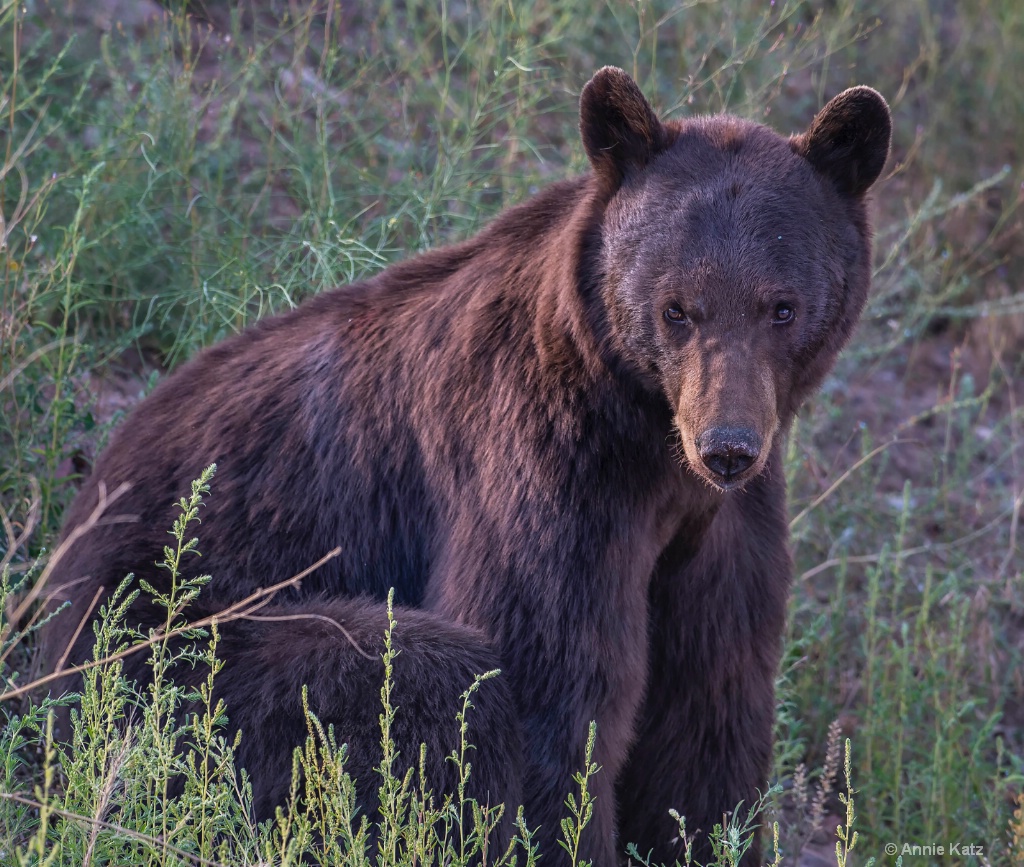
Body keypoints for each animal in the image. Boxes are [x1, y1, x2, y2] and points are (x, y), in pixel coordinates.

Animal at [37, 67, 888, 867]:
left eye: (781, 306)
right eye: (676, 307)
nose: (728, 444)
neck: (648, 448)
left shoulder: (721, 534)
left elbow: (710, 709)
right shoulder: (544, 468)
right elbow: (550, 691)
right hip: (169, 645)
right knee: (421, 671)